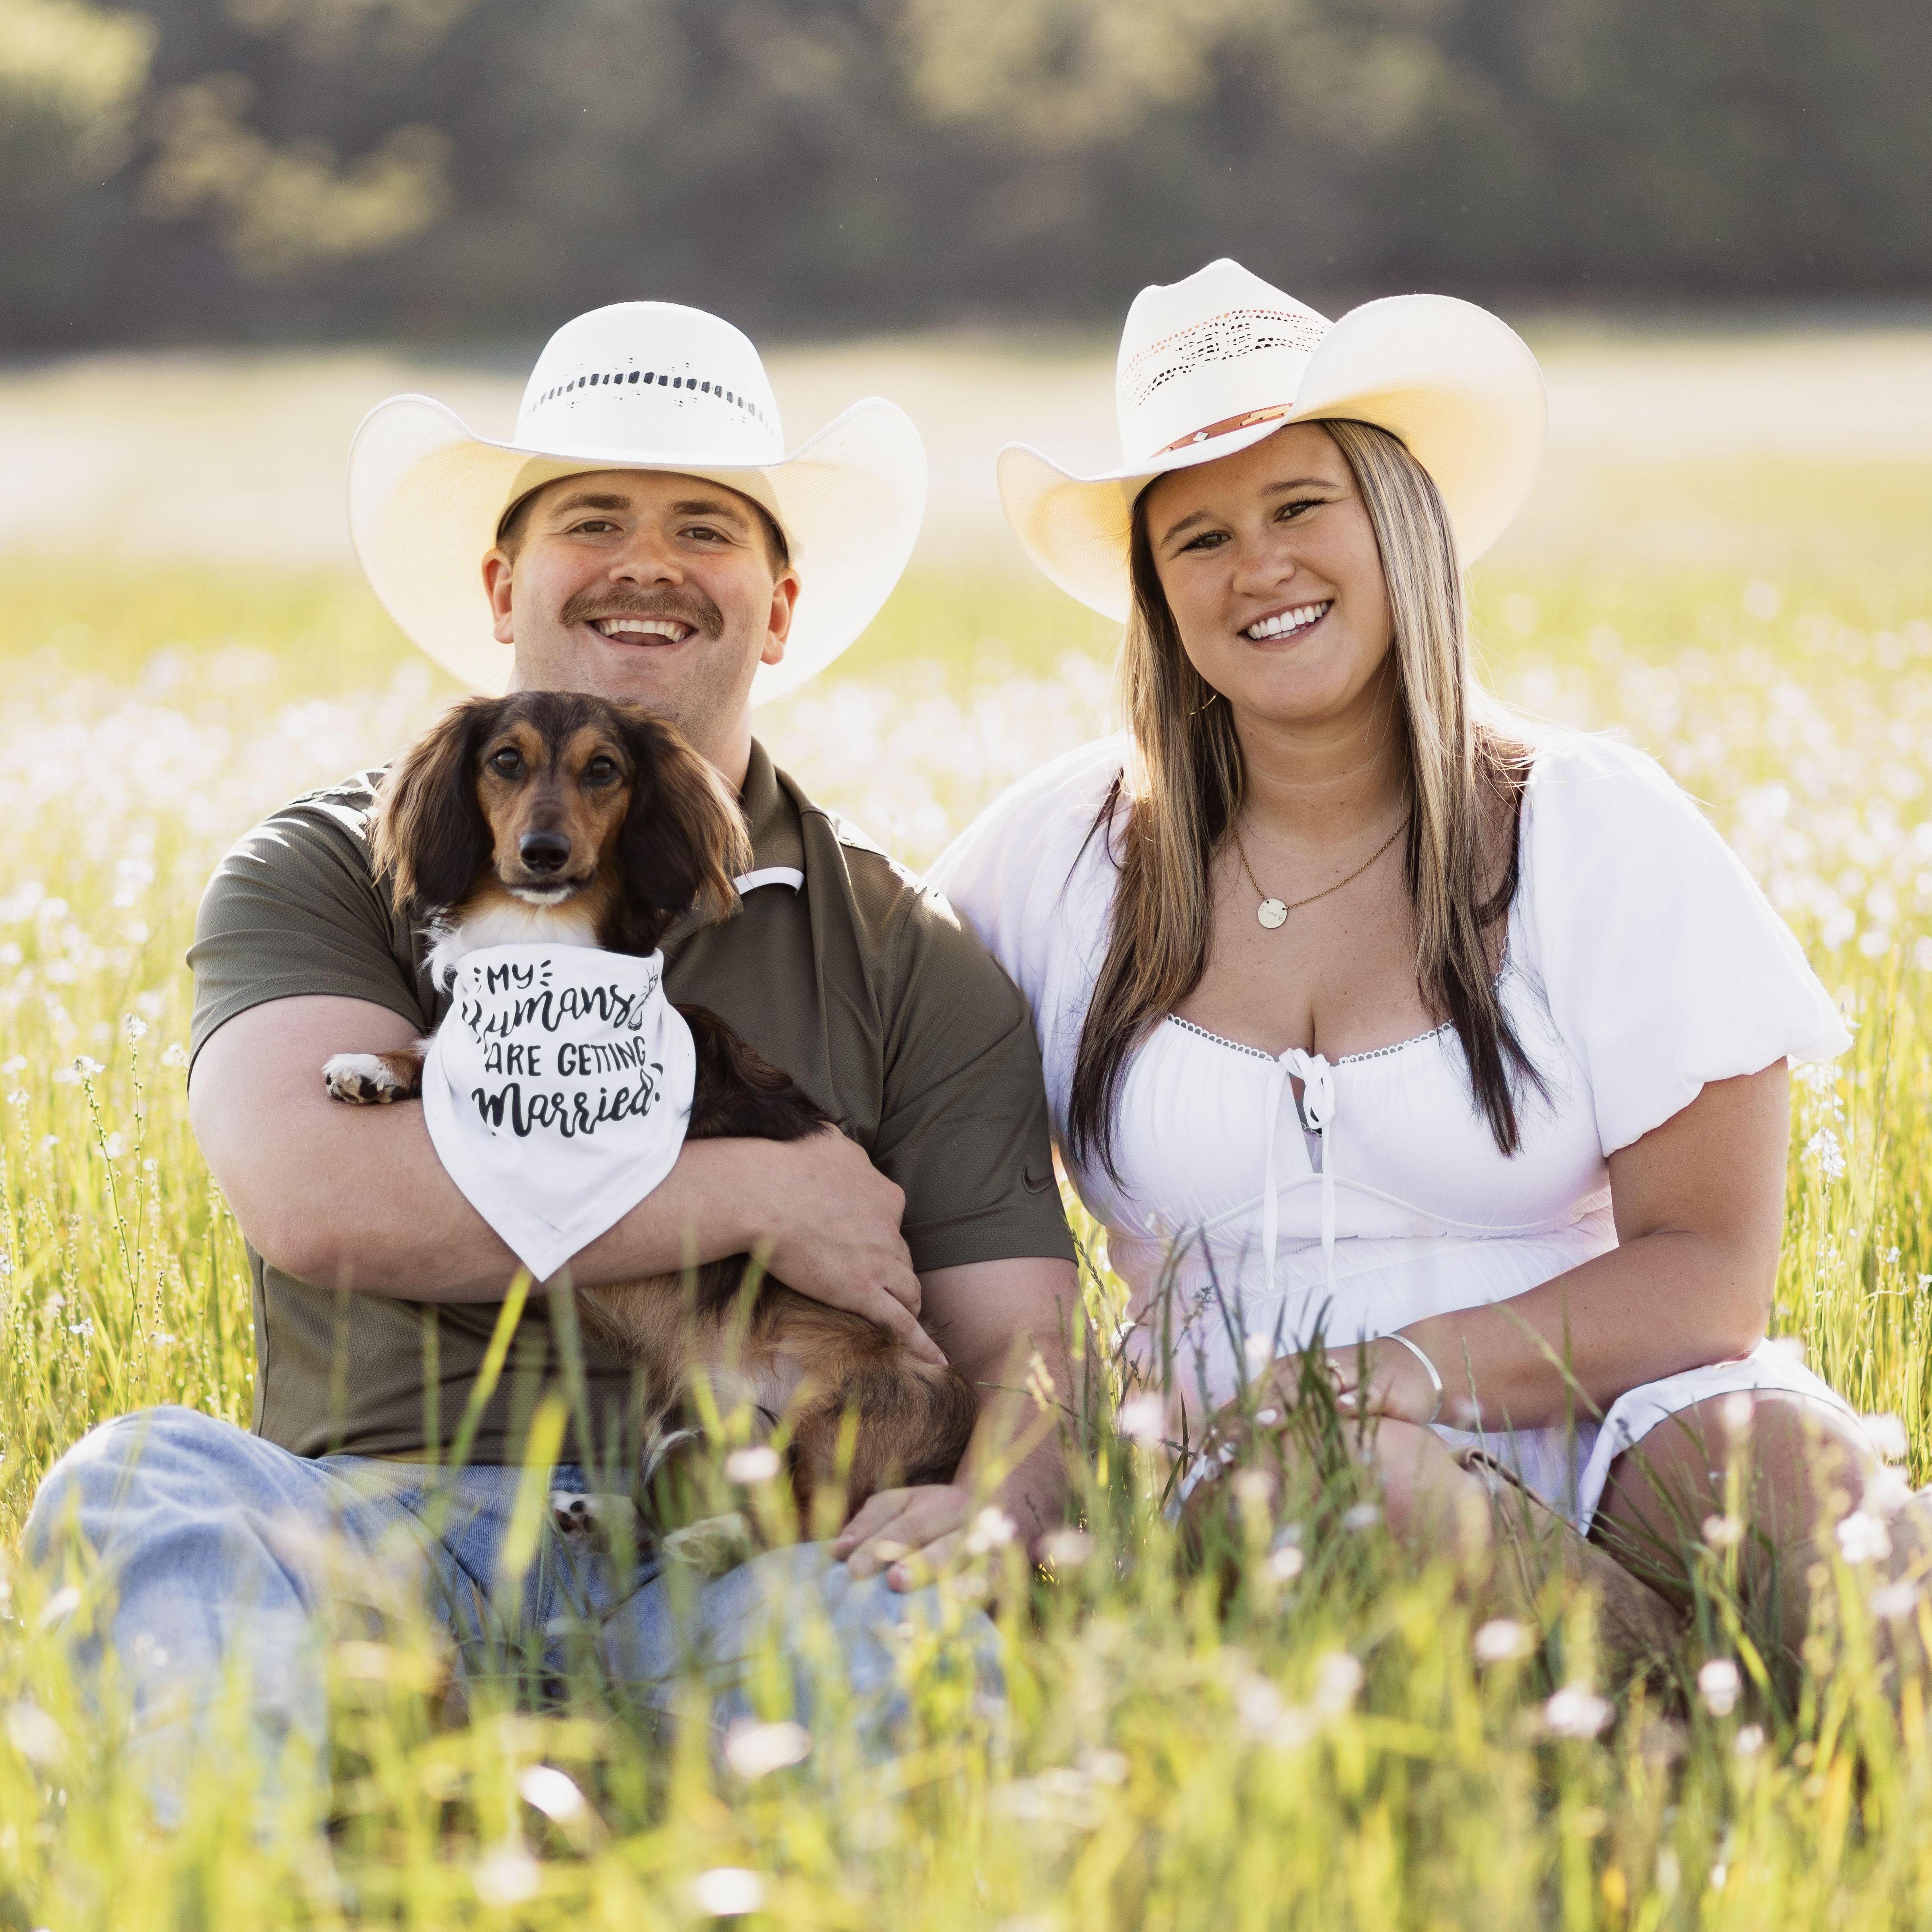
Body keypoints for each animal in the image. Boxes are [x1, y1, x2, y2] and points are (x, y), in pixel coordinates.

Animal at [321, 690, 979, 1519]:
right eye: (504, 759)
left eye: (603, 769)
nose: (543, 852)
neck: (540, 947)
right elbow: (437, 1049)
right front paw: (372, 1067)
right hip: (685, 1423)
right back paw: (594, 1515)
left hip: (837, 1429)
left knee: (792, 1528)